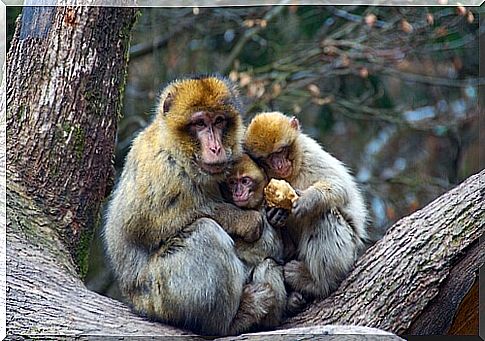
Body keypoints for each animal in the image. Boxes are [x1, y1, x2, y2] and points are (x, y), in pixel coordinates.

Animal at [104, 75, 282, 334]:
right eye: (199, 124)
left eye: (218, 121)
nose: (216, 147)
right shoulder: (161, 167)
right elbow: (144, 223)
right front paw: (245, 220)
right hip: (162, 297)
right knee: (205, 232)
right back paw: (231, 321)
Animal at [244, 111, 368, 298]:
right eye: (268, 158)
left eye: (281, 151)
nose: (279, 164)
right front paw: (275, 214)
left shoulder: (311, 154)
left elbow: (339, 186)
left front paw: (309, 200)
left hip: (349, 249)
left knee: (323, 215)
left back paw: (317, 283)